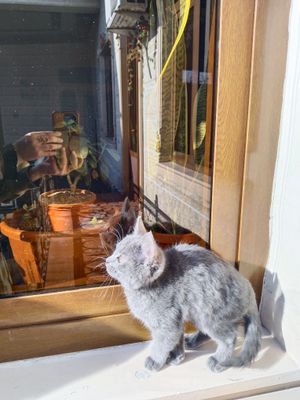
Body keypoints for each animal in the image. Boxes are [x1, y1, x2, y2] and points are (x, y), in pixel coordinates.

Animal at [105, 216, 260, 372]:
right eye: (115, 249)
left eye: (120, 258)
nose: (106, 260)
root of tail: (248, 287)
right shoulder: (176, 318)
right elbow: (177, 338)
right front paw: (177, 356)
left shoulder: (167, 323)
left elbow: (162, 344)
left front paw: (155, 360)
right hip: (198, 313)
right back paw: (192, 341)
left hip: (210, 313)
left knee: (229, 337)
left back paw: (218, 360)